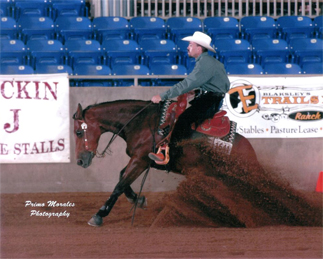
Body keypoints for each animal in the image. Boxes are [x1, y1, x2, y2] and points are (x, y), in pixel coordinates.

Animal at [73, 99, 260, 228]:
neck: (141, 123)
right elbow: (122, 177)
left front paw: (98, 215)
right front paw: (138, 200)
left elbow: (120, 185)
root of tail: (249, 150)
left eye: (78, 132)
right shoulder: (141, 160)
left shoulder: (140, 160)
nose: (80, 161)